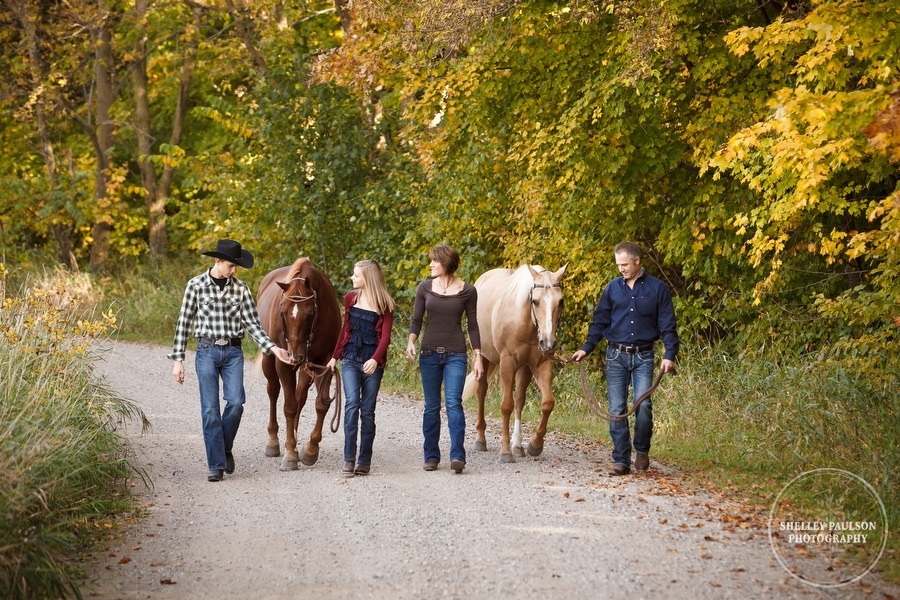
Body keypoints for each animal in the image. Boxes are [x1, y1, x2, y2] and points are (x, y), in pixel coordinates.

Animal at [256, 255, 342, 472]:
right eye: (283, 312)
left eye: (310, 313)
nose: (295, 356)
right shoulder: (283, 364)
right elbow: (289, 407)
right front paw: (290, 454)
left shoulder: (323, 363)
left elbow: (321, 404)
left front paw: (310, 449)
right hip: (271, 360)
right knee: (273, 391)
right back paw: (274, 441)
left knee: (299, 396)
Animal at [460, 264, 568, 464]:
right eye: (535, 301)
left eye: (561, 301)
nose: (549, 343)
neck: (525, 322)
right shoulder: (507, 364)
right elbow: (506, 406)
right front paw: (505, 451)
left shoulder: (540, 363)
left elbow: (547, 403)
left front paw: (535, 444)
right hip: (483, 357)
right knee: (481, 391)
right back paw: (481, 440)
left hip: (523, 368)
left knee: (519, 400)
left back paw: (518, 446)